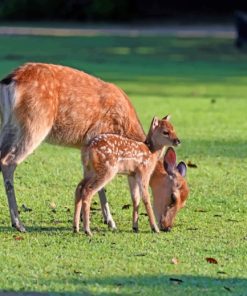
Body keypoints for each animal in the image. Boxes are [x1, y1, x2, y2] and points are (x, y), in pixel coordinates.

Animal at [0, 63, 187, 234]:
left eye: (185, 201)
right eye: (173, 197)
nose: (167, 227)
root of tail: (9, 82)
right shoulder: (95, 140)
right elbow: (102, 187)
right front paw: (109, 222)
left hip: (9, 126)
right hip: (34, 124)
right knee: (8, 162)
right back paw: (19, 224)